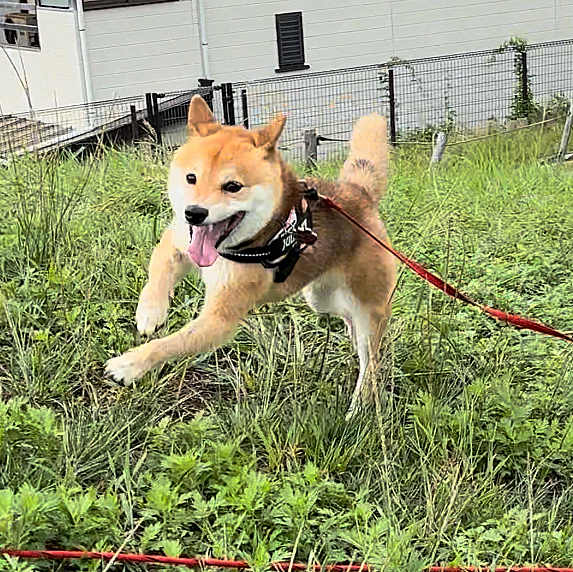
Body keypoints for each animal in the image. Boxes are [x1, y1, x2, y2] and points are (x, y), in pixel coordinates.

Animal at [106, 95, 394, 416]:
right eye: (191, 178)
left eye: (233, 186)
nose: (194, 213)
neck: (231, 248)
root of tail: (359, 194)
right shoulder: (179, 240)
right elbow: (158, 268)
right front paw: (150, 313)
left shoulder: (219, 319)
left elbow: (170, 344)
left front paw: (129, 364)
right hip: (321, 298)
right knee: (347, 318)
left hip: (367, 308)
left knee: (371, 360)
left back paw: (359, 406)